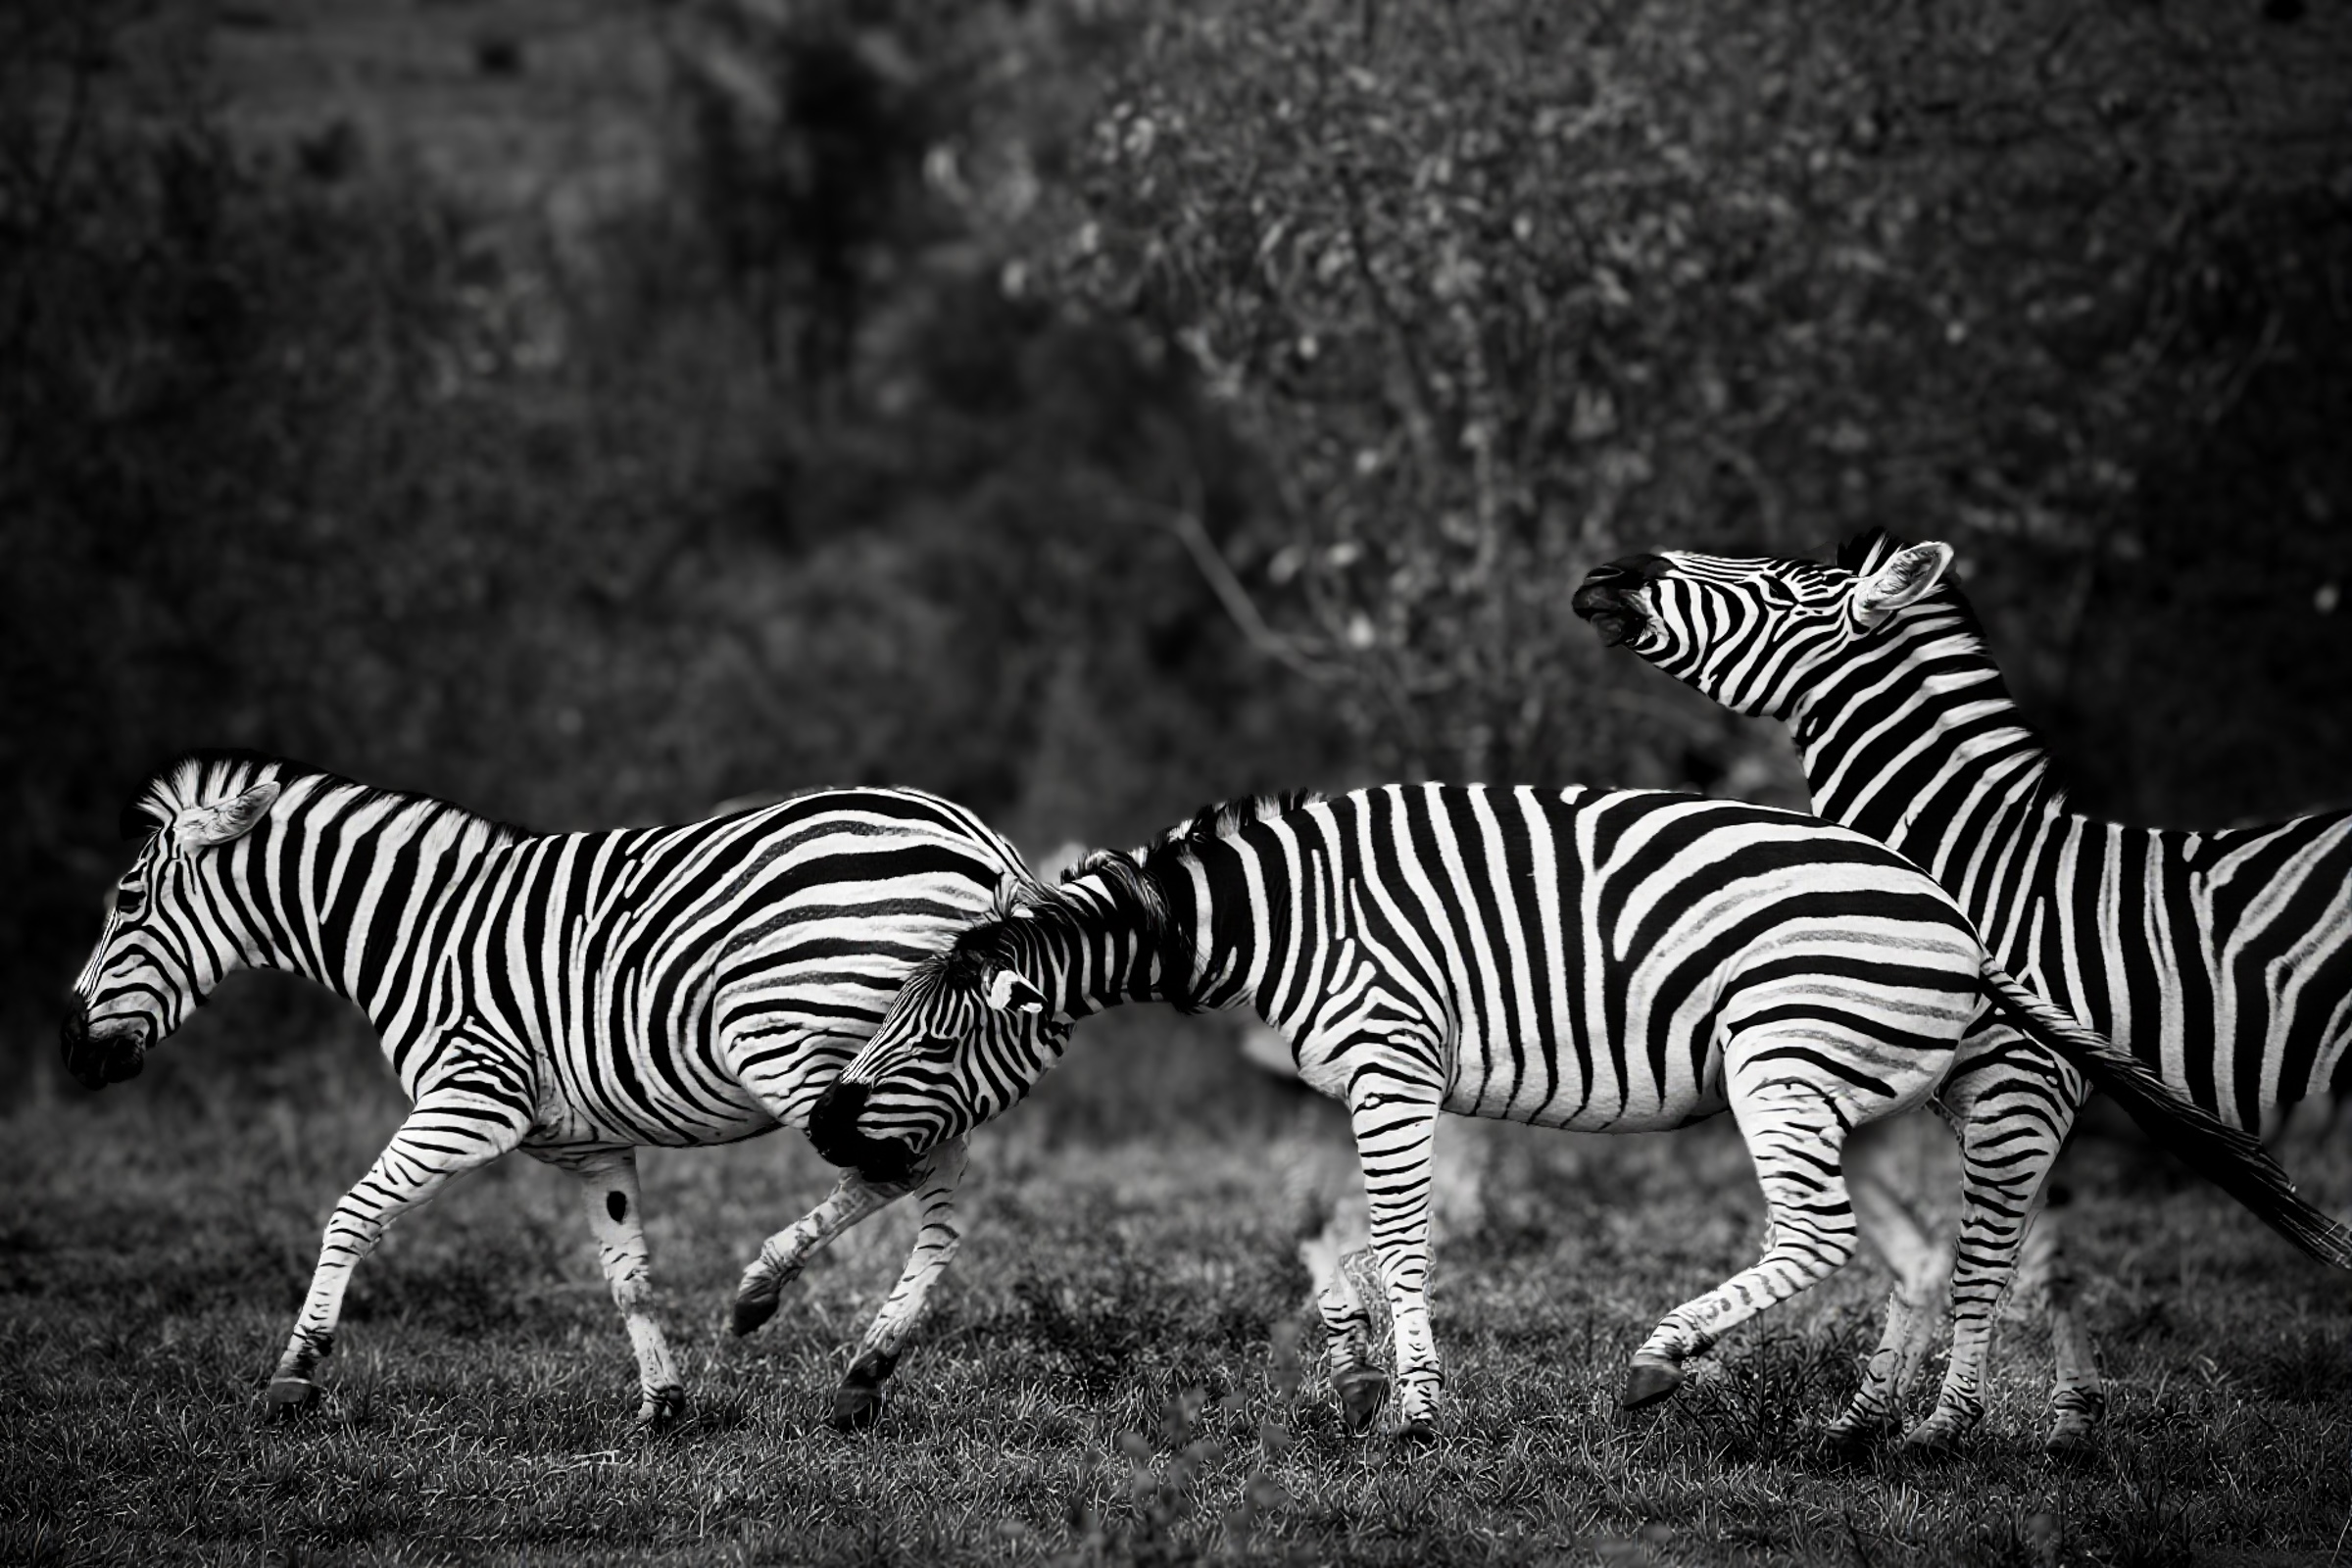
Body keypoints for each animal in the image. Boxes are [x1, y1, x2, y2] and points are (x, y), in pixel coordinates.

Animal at [60, 749, 1040, 1430]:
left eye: (127, 900)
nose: (73, 1050)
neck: (415, 929)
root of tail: (980, 842)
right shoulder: (591, 1146)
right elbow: (628, 1276)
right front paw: (662, 1407)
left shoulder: (471, 1099)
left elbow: (352, 1213)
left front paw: (293, 1378)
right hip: (906, 1074)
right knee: (942, 1204)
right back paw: (863, 1375)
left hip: (809, 1051)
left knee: (896, 1177)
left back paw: (770, 1295)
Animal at [804, 785, 2349, 1442]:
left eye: (932, 1027)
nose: (826, 1129)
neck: (1264, 916)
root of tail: (1959, 921)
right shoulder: (1367, 1084)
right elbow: (1336, 1246)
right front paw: (1356, 1377)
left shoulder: (1392, 1059)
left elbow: (1403, 1241)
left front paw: (1417, 1412)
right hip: (1889, 1093)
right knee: (1937, 1256)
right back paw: (1880, 1427)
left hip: (1784, 1063)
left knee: (1840, 1238)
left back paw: (1669, 1364)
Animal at [1572, 530, 2352, 1451]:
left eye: (1777, 590)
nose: (1607, 575)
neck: (1976, 877)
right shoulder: (2018, 1097)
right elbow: (2041, 1267)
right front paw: (2040, 1424)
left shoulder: (2024, 1085)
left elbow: (1978, 1267)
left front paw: (1942, 1425)